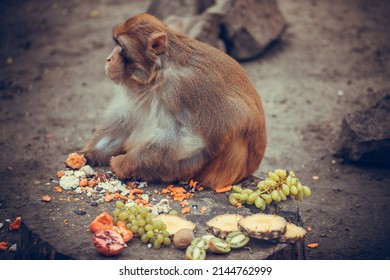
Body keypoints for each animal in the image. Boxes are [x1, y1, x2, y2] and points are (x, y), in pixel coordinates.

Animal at [81, 12, 266, 188]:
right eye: (116, 44)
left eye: (121, 47)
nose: (108, 59)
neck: (158, 73)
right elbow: (127, 120)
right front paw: (89, 153)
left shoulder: (184, 87)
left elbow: (197, 141)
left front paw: (123, 163)